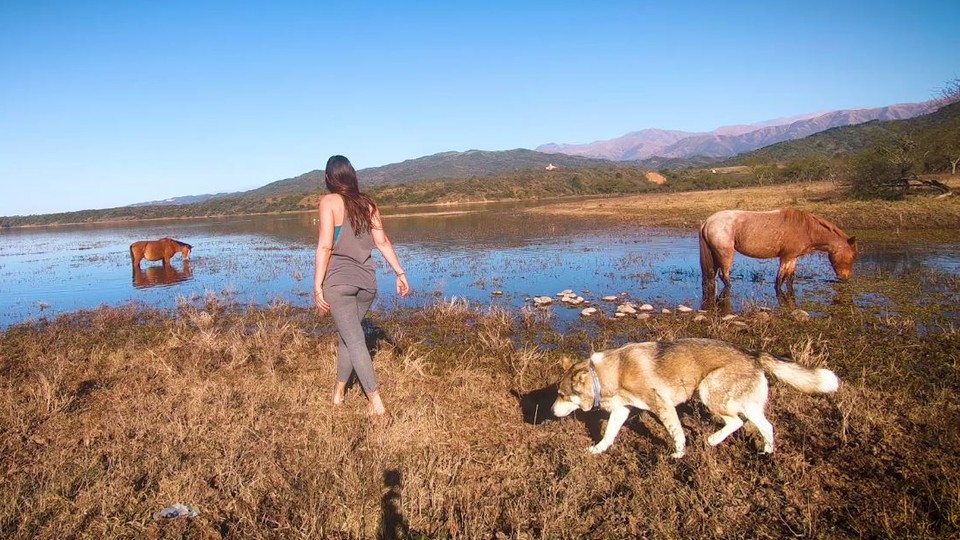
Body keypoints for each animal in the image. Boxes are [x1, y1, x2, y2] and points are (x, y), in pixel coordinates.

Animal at [552, 340, 836, 458]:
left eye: (562, 395)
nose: (552, 411)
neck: (609, 372)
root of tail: (753, 353)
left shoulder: (662, 406)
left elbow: (676, 432)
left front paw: (679, 454)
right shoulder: (622, 411)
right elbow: (609, 433)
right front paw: (598, 450)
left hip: (708, 389)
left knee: (736, 422)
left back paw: (712, 440)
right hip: (748, 406)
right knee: (766, 426)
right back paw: (767, 453)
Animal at [700, 209, 860, 298]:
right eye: (853, 256)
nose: (846, 277)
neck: (807, 229)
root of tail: (708, 222)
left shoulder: (793, 258)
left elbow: (790, 278)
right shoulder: (786, 258)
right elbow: (780, 280)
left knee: (712, 275)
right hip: (725, 255)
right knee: (724, 275)